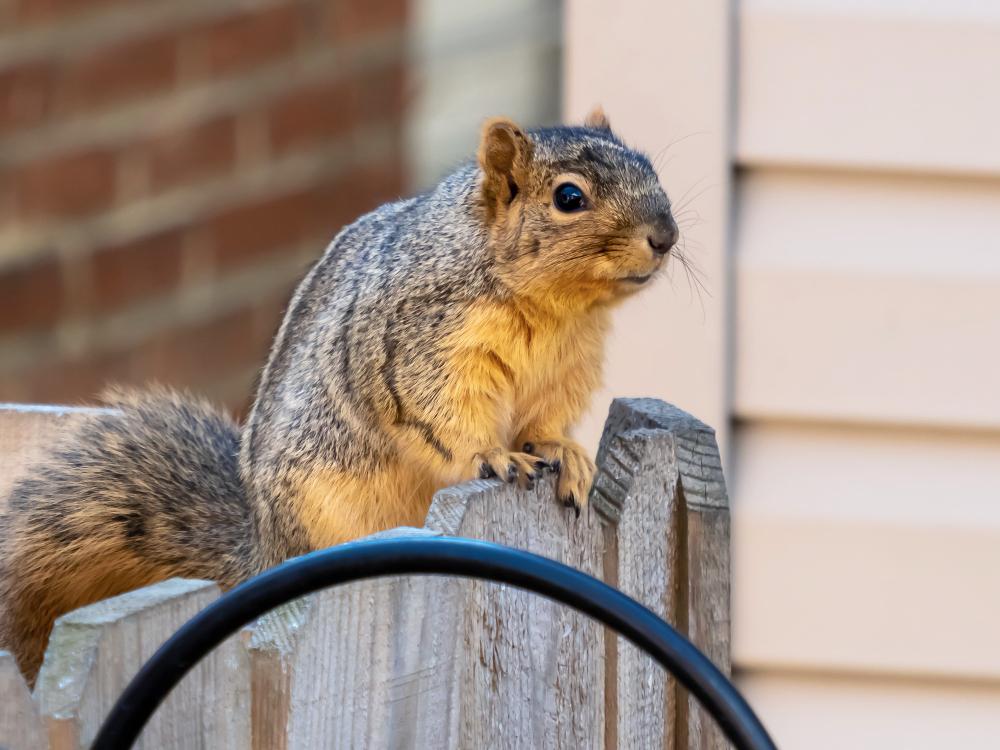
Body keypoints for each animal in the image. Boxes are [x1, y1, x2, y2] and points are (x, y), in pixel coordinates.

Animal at [0, 108, 678, 683]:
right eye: (569, 197)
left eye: (650, 168)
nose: (666, 235)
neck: (559, 310)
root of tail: (264, 551)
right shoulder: (422, 345)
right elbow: (443, 415)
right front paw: (494, 455)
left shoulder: (566, 371)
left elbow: (546, 422)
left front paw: (564, 452)